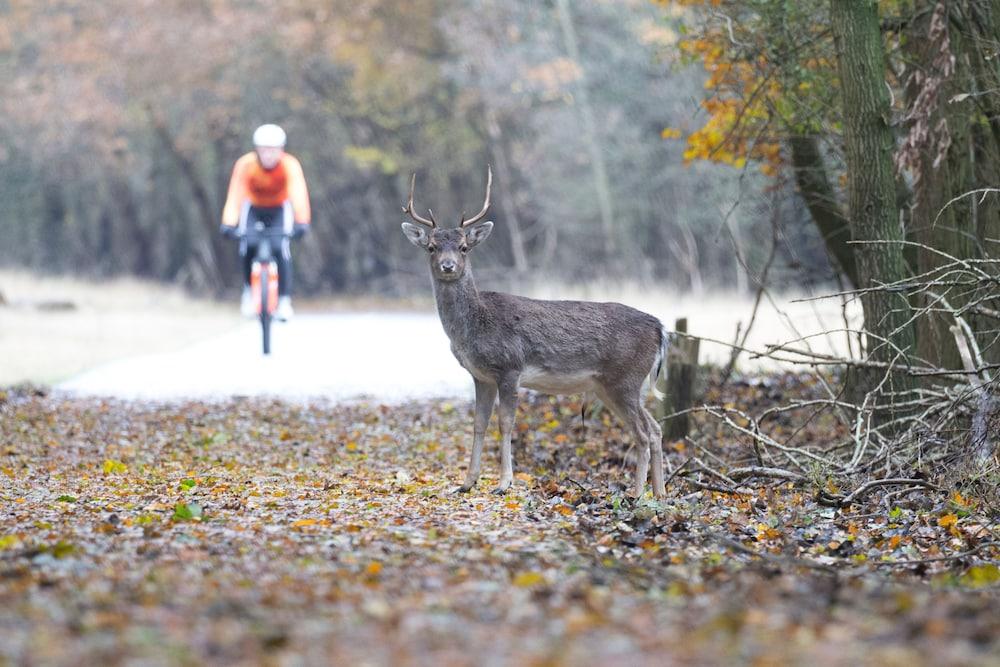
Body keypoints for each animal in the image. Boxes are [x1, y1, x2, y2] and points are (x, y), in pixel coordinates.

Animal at [398, 170, 672, 498]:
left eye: (464, 247)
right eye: (431, 247)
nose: (448, 266)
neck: (473, 329)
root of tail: (660, 328)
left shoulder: (509, 367)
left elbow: (505, 423)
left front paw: (504, 483)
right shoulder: (481, 376)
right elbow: (478, 424)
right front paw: (466, 483)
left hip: (625, 379)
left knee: (643, 433)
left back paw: (636, 493)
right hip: (615, 386)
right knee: (655, 429)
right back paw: (660, 493)